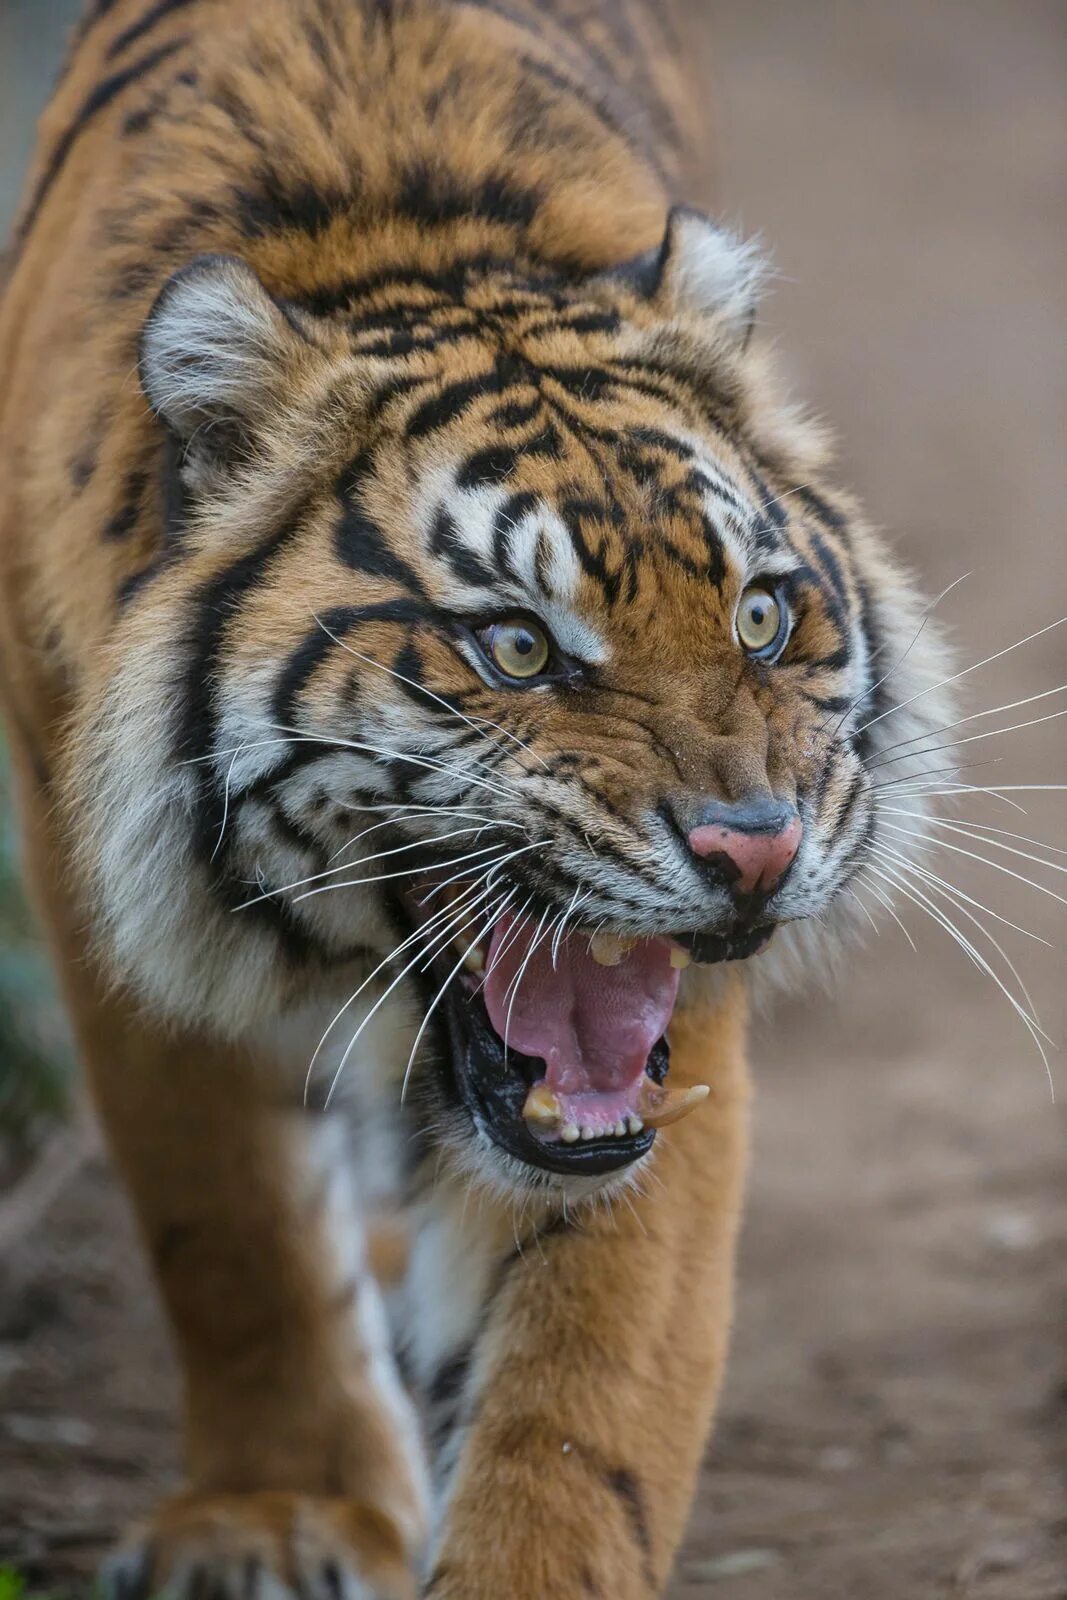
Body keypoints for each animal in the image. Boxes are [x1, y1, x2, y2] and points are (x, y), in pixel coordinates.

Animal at [0, 3, 953, 1600]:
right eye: (514, 645)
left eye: (760, 619)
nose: (755, 855)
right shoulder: (101, 880)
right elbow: (229, 1223)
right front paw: (277, 1515)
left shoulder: (654, 1051)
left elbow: (580, 1390)